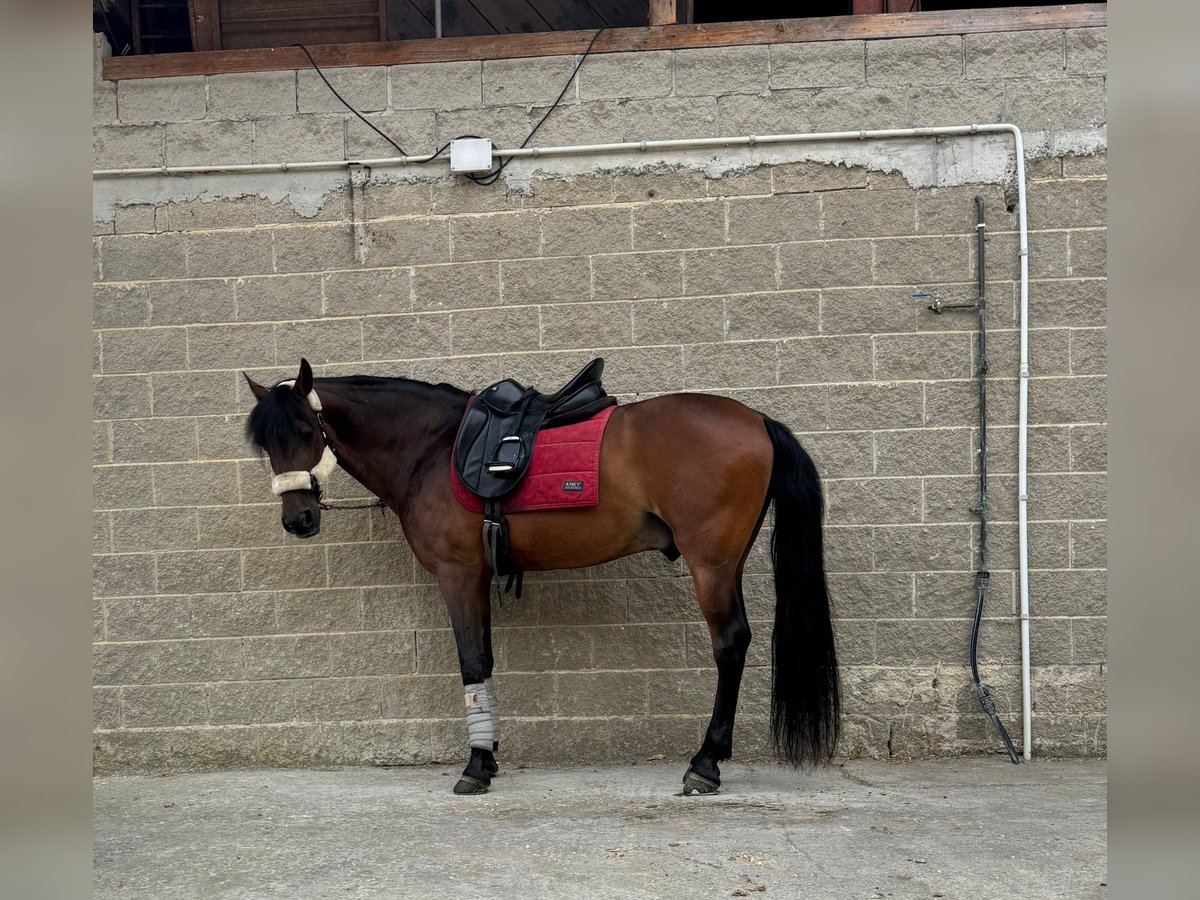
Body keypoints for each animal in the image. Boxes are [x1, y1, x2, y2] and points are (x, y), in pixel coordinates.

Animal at [247, 360, 840, 796]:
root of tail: (756, 420)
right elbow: (485, 660)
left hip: (710, 565)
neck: (432, 449)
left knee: (730, 644)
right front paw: (488, 758)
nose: (298, 520)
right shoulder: (479, 577)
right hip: (728, 562)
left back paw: (705, 764)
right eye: (265, 444)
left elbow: (471, 662)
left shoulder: (458, 575)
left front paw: (475, 767)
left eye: (306, 429)